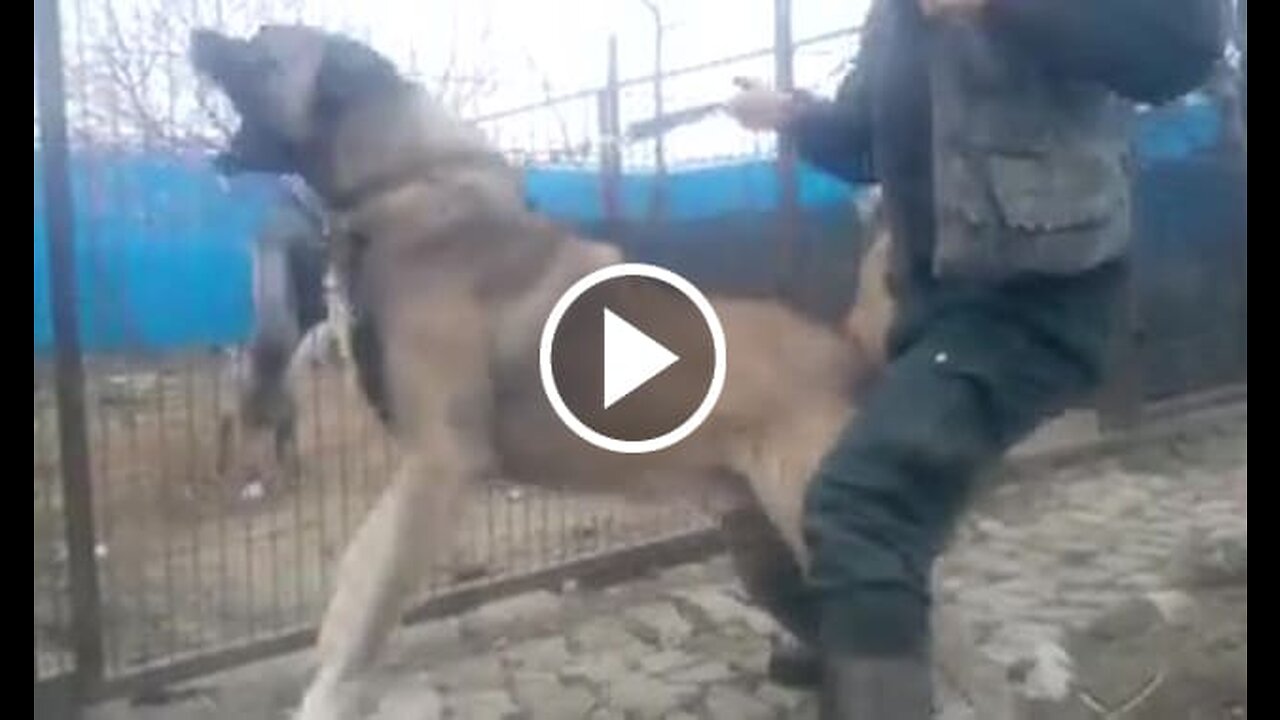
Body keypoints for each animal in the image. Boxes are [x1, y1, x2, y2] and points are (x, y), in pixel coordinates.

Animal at [189, 25, 896, 712]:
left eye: (263, 44)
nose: (197, 34)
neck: (406, 182)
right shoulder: (419, 470)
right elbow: (356, 582)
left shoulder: (441, 465)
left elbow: (370, 614)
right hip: (756, 527)